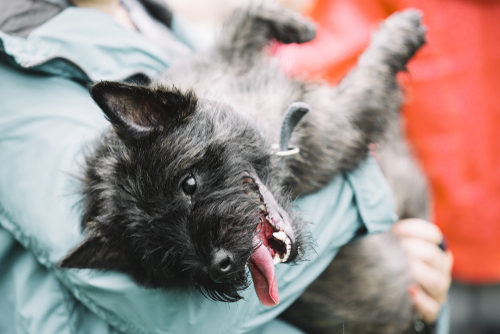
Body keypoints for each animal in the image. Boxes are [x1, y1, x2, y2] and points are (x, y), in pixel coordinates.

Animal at [58, 1, 426, 332]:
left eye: (188, 184)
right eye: (163, 255)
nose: (220, 265)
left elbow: (243, 19)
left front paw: (294, 26)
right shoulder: (337, 122)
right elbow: (368, 77)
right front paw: (401, 32)